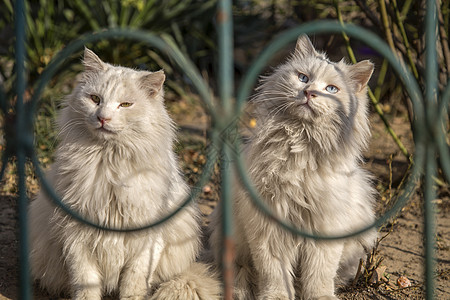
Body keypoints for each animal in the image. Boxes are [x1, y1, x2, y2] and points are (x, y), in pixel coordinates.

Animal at [28, 48, 220, 300]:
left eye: (126, 104)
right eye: (95, 99)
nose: (103, 118)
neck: (110, 165)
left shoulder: (147, 241)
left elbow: (133, 283)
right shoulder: (76, 236)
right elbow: (85, 283)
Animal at [209, 35, 378, 300]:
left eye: (331, 89)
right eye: (303, 78)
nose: (308, 93)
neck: (299, 147)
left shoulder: (326, 228)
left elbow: (319, 275)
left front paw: (320, 297)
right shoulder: (268, 228)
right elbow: (274, 274)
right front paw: (276, 296)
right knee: (240, 272)